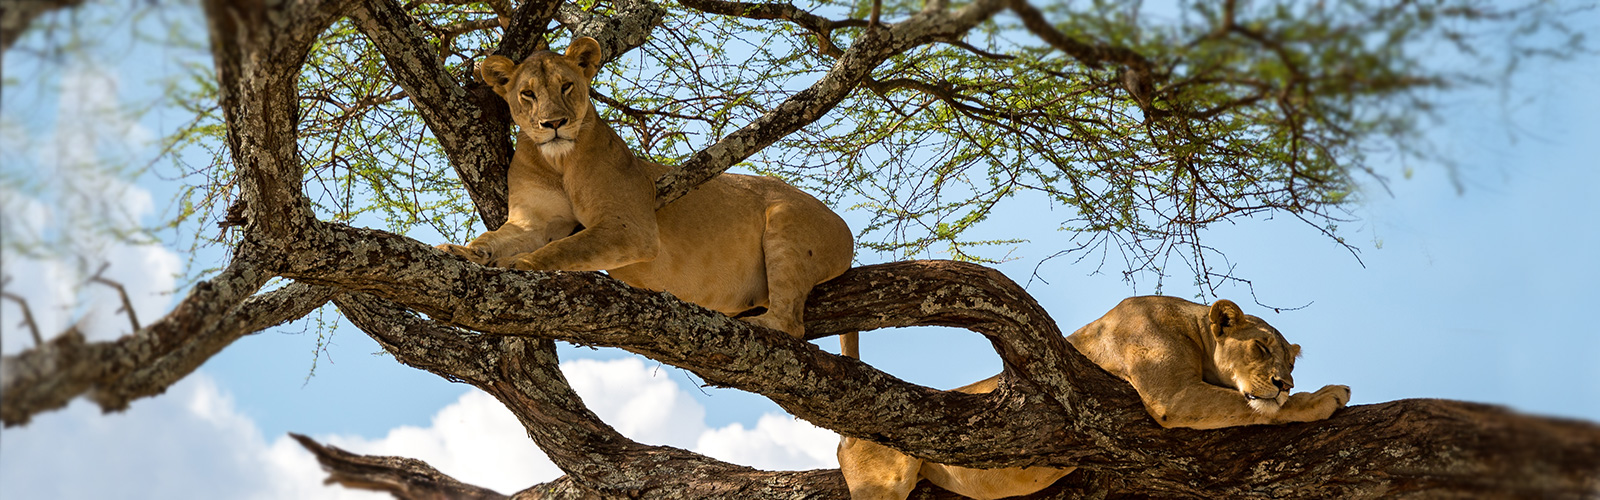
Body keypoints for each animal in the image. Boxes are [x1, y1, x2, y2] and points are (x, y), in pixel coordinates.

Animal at [432, 37, 857, 338]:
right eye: (528, 94)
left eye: (567, 86)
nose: (553, 123)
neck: (558, 161)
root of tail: (844, 227)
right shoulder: (532, 220)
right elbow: (493, 238)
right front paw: (462, 251)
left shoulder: (630, 227)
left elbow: (565, 246)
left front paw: (523, 264)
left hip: (786, 223)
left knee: (791, 324)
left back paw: (758, 325)